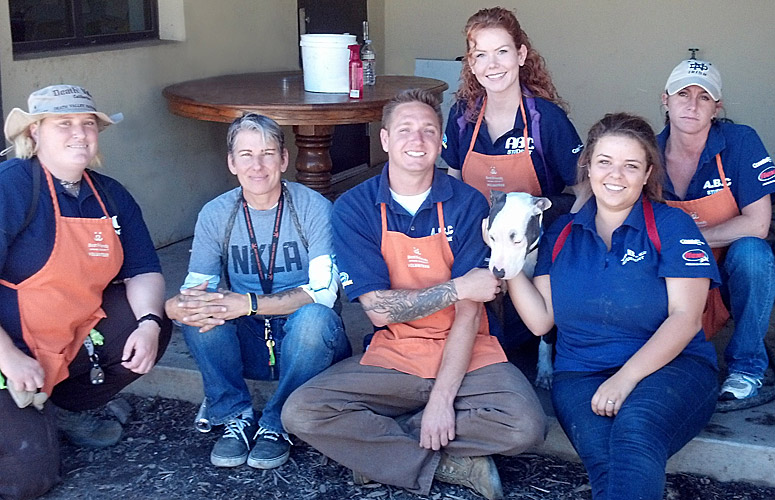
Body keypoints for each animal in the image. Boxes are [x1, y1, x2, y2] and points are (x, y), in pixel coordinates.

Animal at [482, 191, 556, 390]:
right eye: (491, 237)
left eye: (517, 240)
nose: (498, 272)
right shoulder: (496, 297)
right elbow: (499, 326)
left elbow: (546, 336)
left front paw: (545, 370)